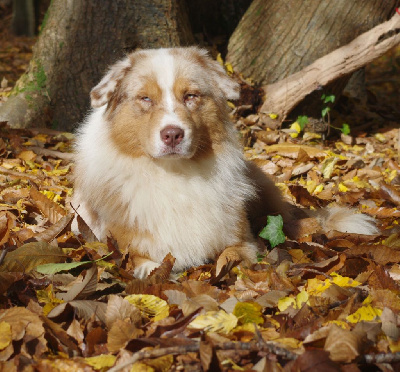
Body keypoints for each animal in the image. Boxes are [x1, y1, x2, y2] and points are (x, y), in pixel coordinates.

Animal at [72, 46, 378, 278]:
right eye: (145, 98)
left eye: (191, 96)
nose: (172, 134)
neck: (176, 174)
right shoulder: (120, 244)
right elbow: (142, 261)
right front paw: (153, 270)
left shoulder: (243, 239)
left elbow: (232, 253)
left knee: (295, 222)